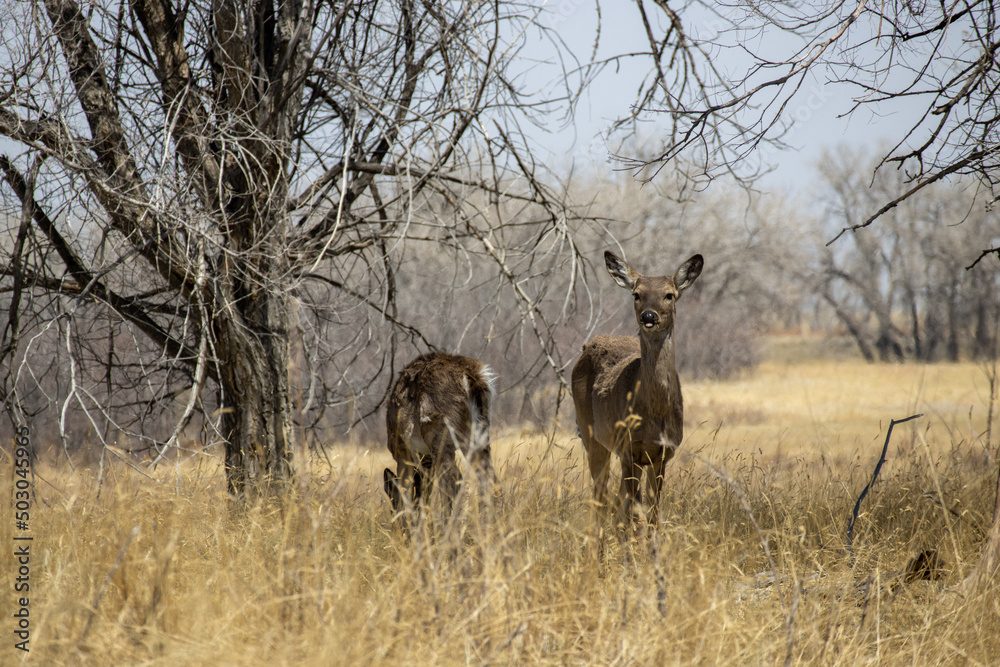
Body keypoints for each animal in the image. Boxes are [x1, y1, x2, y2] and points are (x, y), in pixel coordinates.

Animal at [383, 352, 496, 521]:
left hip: (439, 432)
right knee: (488, 475)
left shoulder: (402, 452)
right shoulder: (425, 461)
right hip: (478, 431)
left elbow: (407, 490)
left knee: (454, 480)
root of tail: (470, 375)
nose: (395, 519)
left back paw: (449, 523)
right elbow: (424, 494)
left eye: (392, 503)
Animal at [571, 250, 703, 528]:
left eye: (669, 294)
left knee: (615, 502)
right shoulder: (629, 449)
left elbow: (652, 515)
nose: (649, 317)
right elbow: (634, 514)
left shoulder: (662, 454)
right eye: (637, 294)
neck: (655, 414)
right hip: (591, 435)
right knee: (601, 498)